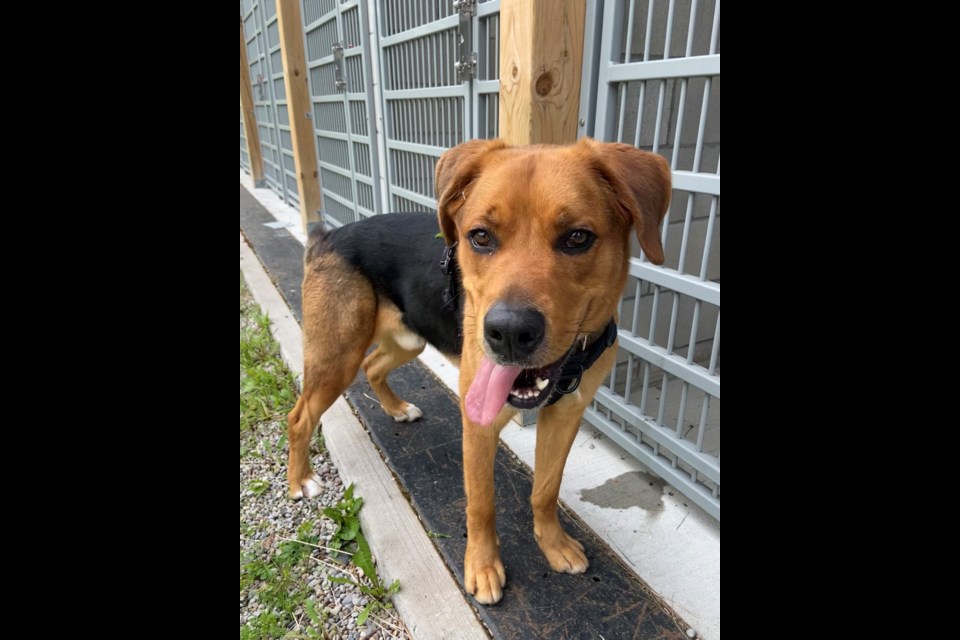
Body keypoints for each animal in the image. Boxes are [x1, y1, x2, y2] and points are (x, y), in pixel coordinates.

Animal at [288, 139, 672, 604]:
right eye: (481, 237)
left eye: (578, 237)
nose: (509, 334)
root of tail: (329, 235)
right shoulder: (479, 421)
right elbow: (481, 504)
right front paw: (483, 568)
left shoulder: (566, 415)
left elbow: (546, 489)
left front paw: (553, 544)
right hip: (335, 357)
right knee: (300, 416)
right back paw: (301, 481)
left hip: (408, 340)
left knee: (373, 364)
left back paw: (397, 409)